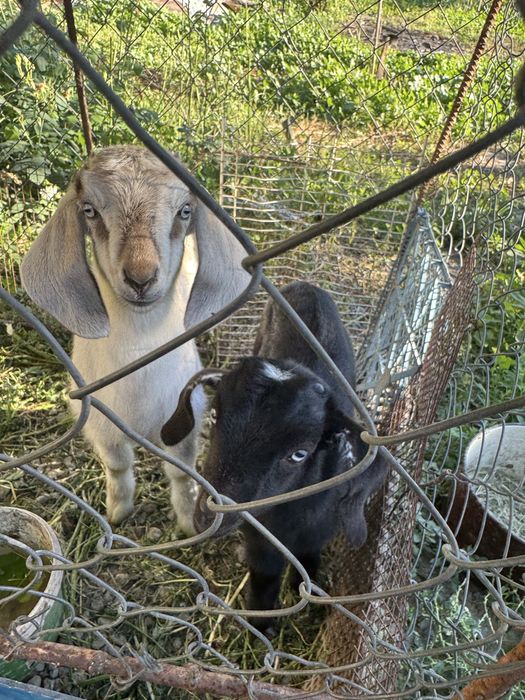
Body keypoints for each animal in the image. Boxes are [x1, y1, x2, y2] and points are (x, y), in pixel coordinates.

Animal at [21, 145, 249, 533]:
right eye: (90, 210)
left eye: (185, 210)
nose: (141, 278)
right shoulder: (101, 423)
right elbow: (117, 466)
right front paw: (118, 510)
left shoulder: (184, 419)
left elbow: (182, 473)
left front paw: (187, 520)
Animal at [161, 281, 387, 629]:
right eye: (213, 416)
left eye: (299, 453)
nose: (207, 517)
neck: (287, 517)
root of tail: (305, 285)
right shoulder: (259, 536)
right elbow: (265, 573)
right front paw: (260, 621)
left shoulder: (320, 529)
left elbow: (308, 556)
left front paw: (303, 588)